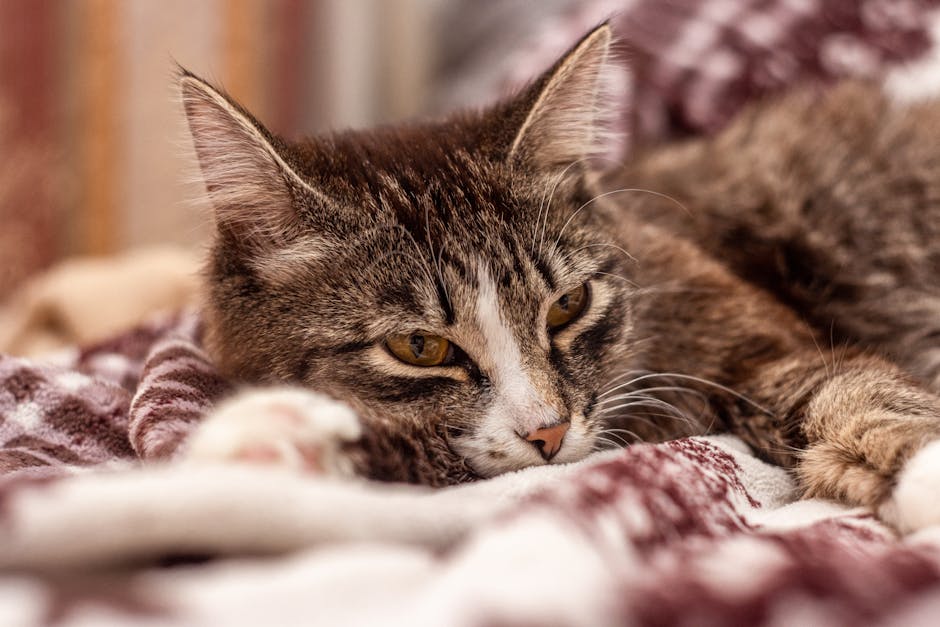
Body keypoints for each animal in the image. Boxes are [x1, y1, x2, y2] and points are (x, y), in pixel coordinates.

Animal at [178, 24, 940, 536]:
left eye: (568, 305)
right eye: (420, 348)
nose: (548, 431)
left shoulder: (763, 347)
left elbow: (856, 391)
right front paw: (275, 449)